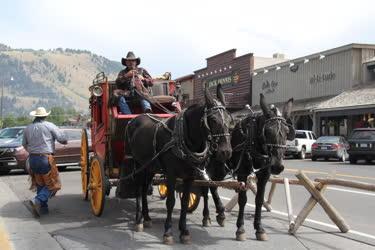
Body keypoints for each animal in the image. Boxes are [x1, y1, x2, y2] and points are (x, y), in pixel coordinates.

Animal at [125, 84, 234, 244]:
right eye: (213, 120)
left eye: (229, 119)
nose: (225, 151)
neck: (184, 138)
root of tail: (134, 120)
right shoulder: (171, 174)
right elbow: (170, 202)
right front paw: (168, 232)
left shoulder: (189, 176)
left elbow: (185, 201)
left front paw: (184, 231)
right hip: (138, 164)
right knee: (139, 189)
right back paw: (139, 219)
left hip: (150, 166)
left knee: (144, 189)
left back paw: (147, 217)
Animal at [200, 93, 296, 240]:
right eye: (268, 131)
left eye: (286, 131)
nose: (277, 166)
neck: (252, 141)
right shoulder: (242, 173)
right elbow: (242, 200)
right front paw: (240, 228)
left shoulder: (264, 175)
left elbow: (259, 200)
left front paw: (259, 228)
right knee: (206, 188)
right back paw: (207, 216)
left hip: (219, 169)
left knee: (213, 186)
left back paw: (220, 214)